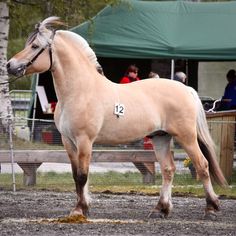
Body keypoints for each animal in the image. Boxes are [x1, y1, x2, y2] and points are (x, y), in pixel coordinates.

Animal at [6, 16, 227, 219]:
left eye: (35, 46)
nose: (9, 65)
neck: (79, 91)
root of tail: (187, 89)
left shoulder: (85, 140)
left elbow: (82, 175)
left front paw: (80, 210)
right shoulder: (68, 141)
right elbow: (76, 175)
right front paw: (82, 207)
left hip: (186, 137)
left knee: (202, 166)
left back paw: (211, 208)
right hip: (161, 137)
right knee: (168, 169)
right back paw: (160, 209)